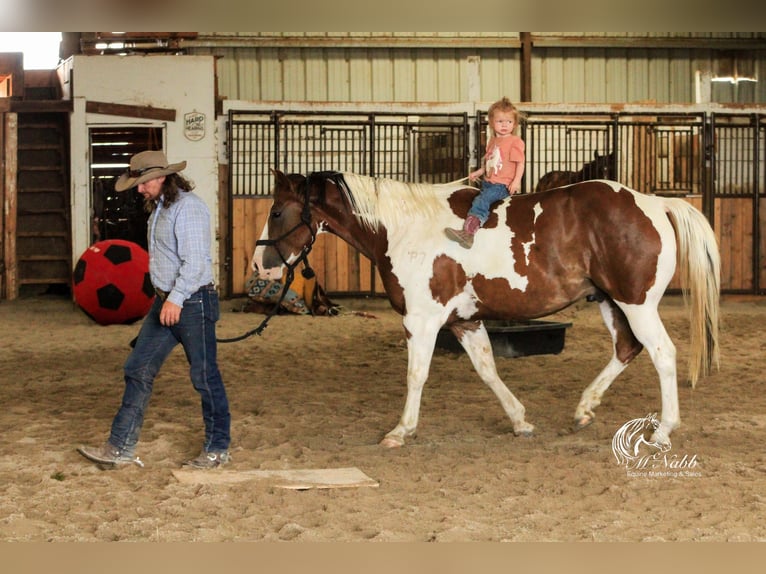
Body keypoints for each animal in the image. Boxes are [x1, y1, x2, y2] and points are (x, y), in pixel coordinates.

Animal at [252, 171, 720, 450]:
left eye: (276, 211)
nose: (259, 265)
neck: (403, 229)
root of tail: (655, 203)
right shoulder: (466, 321)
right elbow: (488, 371)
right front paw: (520, 421)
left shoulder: (422, 321)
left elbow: (416, 374)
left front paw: (401, 430)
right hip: (610, 301)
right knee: (626, 349)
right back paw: (584, 408)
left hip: (636, 303)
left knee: (662, 354)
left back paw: (663, 429)